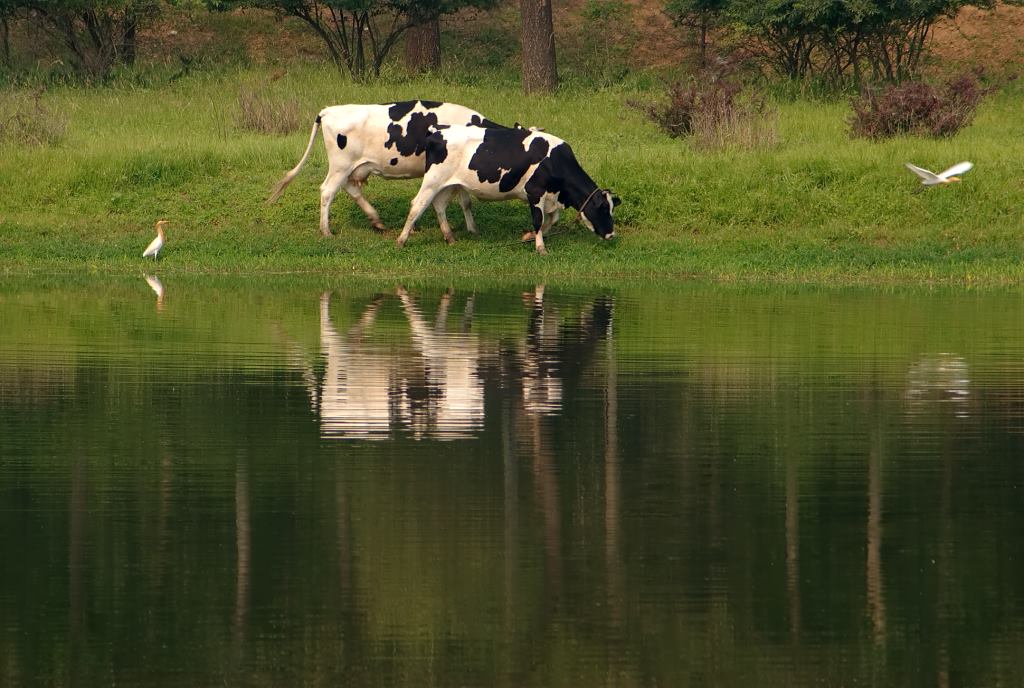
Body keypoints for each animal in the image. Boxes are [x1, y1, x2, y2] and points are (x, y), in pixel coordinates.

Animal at [264, 100, 503, 236]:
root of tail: (328, 111)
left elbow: (465, 201)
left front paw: (471, 229)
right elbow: (464, 201)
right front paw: (473, 230)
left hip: (350, 168)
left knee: (350, 188)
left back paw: (376, 220)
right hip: (341, 165)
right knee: (327, 191)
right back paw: (326, 231)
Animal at [391, 124, 614, 253]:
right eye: (603, 209)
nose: (612, 235)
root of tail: (436, 132)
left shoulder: (550, 197)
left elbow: (552, 219)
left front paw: (529, 237)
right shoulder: (535, 191)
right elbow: (538, 219)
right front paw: (540, 247)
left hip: (450, 184)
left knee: (439, 205)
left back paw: (450, 238)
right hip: (433, 180)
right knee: (418, 205)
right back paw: (402, 240)